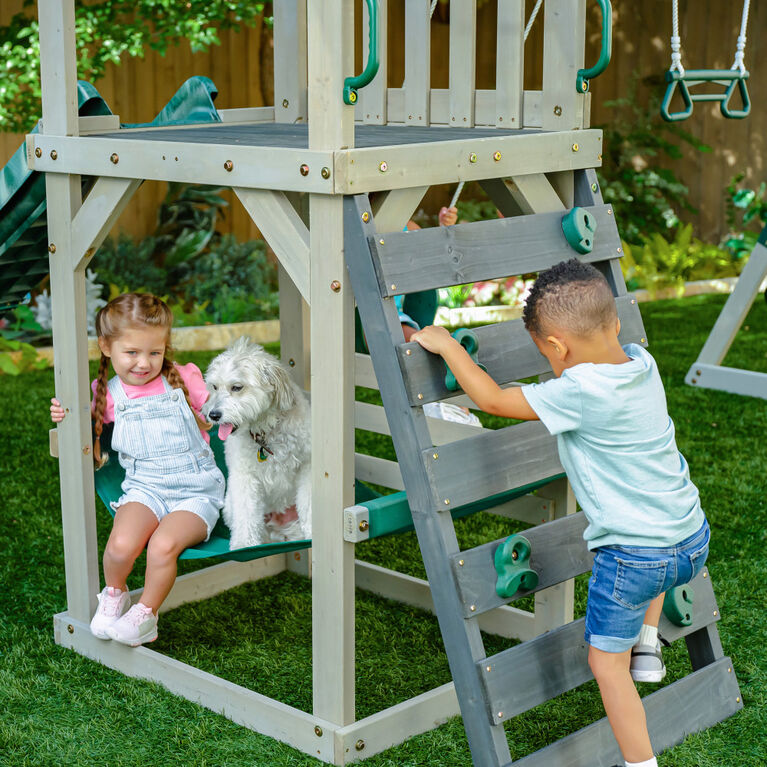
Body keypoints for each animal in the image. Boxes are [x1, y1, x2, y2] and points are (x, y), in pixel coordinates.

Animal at [206, 340, 314, 548]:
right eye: (214, 387)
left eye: (237, 387)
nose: (213, 415)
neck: (266, 430)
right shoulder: (245, 477)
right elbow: (246, 515)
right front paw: (243, 544)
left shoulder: (308, 467)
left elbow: (308, 504)